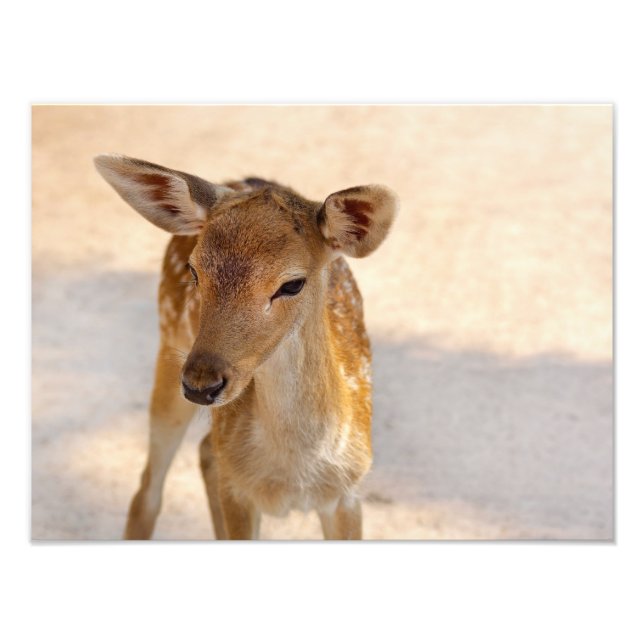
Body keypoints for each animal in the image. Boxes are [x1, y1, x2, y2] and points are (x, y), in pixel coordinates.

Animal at [94, 154, 398, 540]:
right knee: (148, 490)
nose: (201, 385)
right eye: (194, 271)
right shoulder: (238, 492)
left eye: (293, 284)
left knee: (205, 453)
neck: (293, 475)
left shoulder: (349, 492)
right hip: (168, 347)